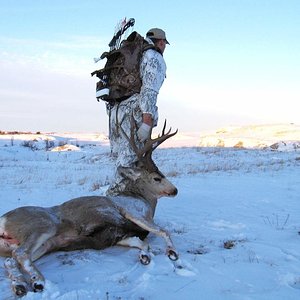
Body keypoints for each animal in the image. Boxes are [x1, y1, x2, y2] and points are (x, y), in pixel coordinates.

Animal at [0, 120, 178, 296]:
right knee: (20, 254)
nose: (175, 190)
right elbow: (161, 231)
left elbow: (141, 242)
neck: (144, 201)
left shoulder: (121, 235)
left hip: (41, 245)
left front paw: (144, 257)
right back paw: (38, 282)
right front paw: (172, 253)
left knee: (11, 260)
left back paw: (20, 285)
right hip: (42, 226)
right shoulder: (131, 211)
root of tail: (3, 220)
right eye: (157, 178)